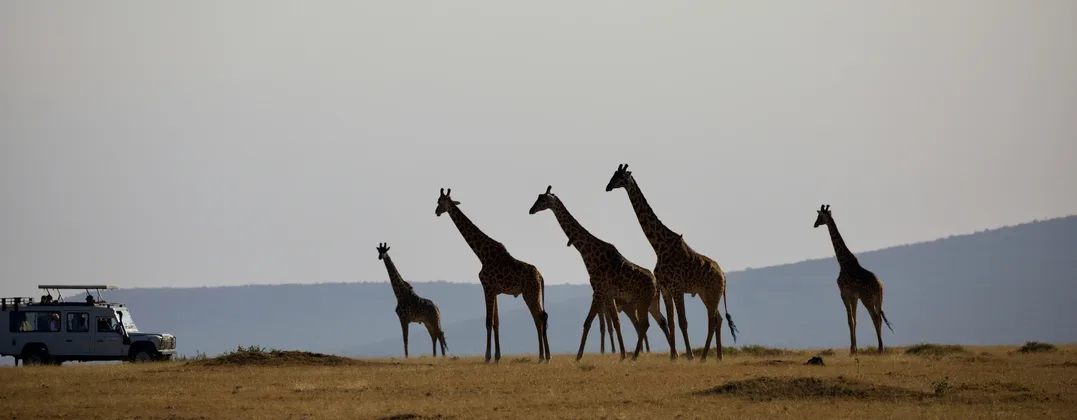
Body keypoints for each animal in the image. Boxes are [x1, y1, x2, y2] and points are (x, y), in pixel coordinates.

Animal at [435, 188, 551, 363]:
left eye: (440, 202)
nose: (436, 212)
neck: (481, 253)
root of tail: (541, 277)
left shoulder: (487, 287)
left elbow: (488, 321)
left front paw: (487, 356)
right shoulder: (495, 291)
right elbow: (496, 322)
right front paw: (497, 356)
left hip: (530, 293)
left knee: (540, 317)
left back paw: (544, 356)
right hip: (533, 293)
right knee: (541, 317)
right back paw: (545, 355)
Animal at [529, 185, 674, 360]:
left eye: (542, 200)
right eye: (538, 197)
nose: (531, 210)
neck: (588, 253)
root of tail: (656, 284)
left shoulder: (599, 290)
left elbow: (588, 322)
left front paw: (578, 356)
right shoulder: (608, 294)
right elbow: (616, 322)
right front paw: (622, 354)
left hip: (643, 301)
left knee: (645, 324)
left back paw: (640, 355)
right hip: (651, 302)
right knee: (660, 321)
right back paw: (673, 354)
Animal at [605, 163, 739, 362]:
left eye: (620, 177)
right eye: (613, 175)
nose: (607, 187)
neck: (659, 247)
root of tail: (723, 275)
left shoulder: (677, 287)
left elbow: (683, 322)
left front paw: (689, 355)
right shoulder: (665, 288)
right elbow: (671, 321)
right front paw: (673, 356)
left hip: (712, 293)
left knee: (713, 319)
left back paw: (703, 356)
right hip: (705, 294)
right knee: (719, 319)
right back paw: (717, 356)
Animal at [813, 204, 893, 354]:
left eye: (819, 216)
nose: (814, 224)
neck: (842, 261)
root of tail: (879, 286)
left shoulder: (844, 293)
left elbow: (849, 320)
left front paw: (852, 349)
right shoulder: (854, 296)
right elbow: (855, 320)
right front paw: (855, 349)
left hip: (867, 298)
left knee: (875, 317)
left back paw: (880, 348)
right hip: (879, 299)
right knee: (879, 317)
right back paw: (881, 347)